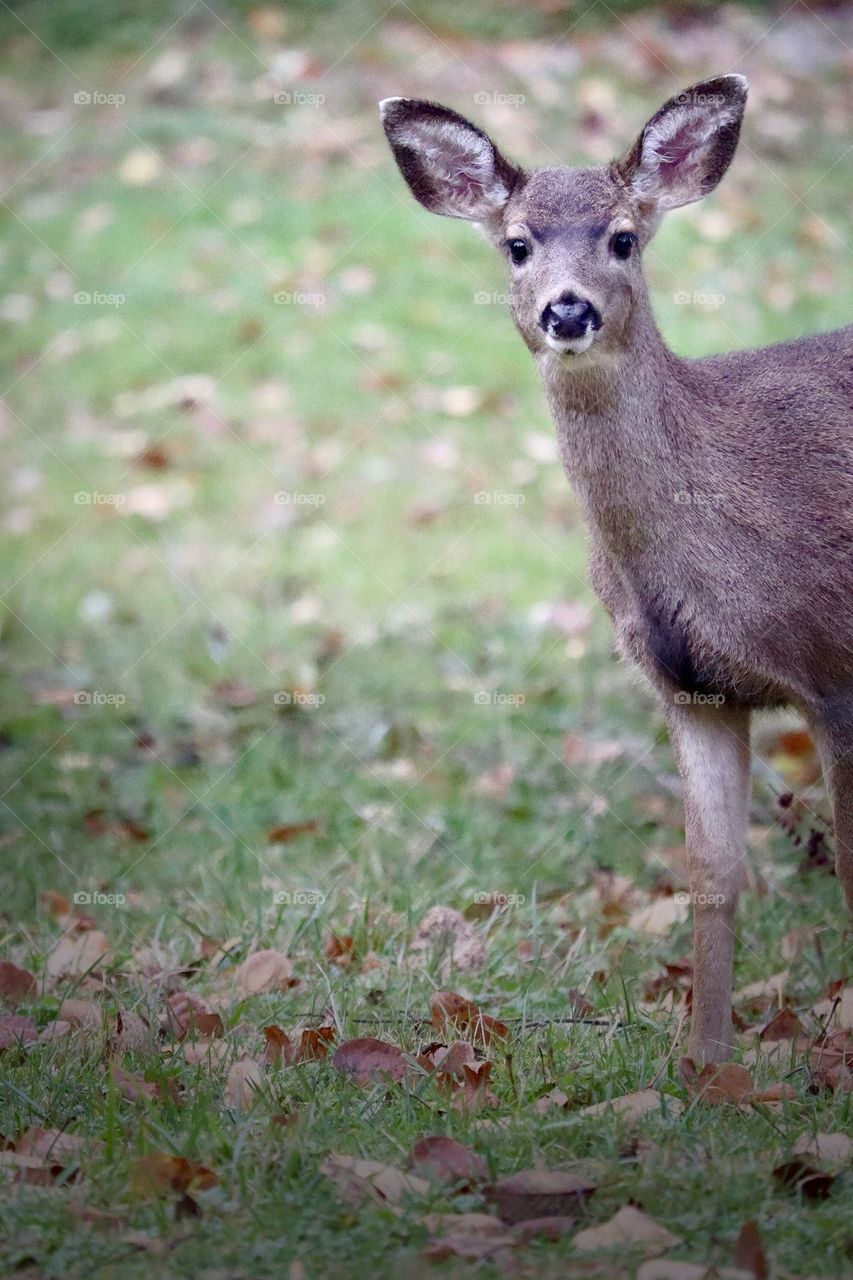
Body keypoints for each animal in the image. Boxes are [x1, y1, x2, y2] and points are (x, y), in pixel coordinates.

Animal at [379, 74, 850, 1064]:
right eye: (517, 243)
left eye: (623, 237)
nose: (567, 310)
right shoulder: (692, 687)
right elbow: (711, 874)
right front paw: (705, 1066)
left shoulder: (833, 669)